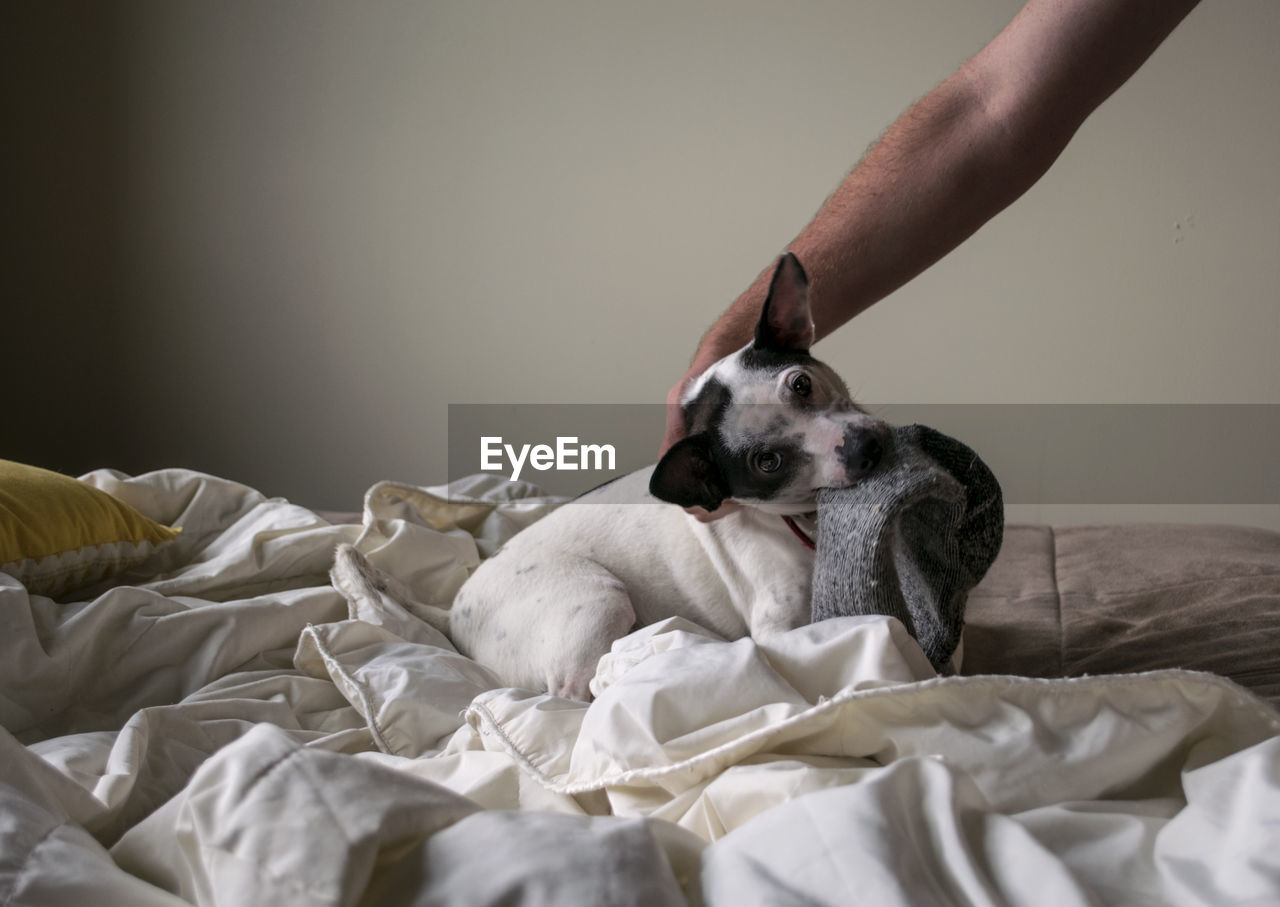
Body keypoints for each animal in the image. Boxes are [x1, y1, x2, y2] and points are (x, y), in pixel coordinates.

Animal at [450, 254, 890, 701]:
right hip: (598, 599)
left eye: (801, 383)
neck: (805, 523)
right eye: (767, 462)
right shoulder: (779, 627)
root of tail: (457, 613)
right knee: (577, 694)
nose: (865, 447)